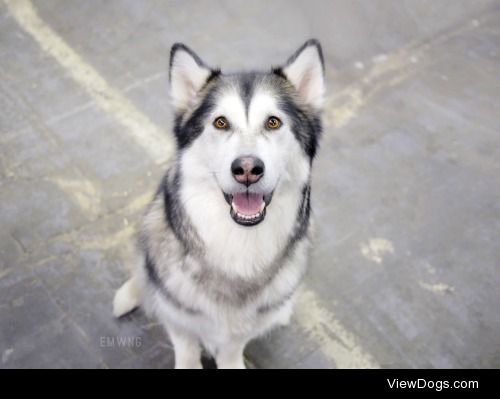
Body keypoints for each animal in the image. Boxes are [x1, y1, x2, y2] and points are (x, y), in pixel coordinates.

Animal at [113, 39, 324, 368]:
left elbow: (232, 351)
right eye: (221, 122)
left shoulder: (239, 333)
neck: (238, 245)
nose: (248, 168)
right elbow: (186, 347)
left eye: (273, 122)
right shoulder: (178, 316)